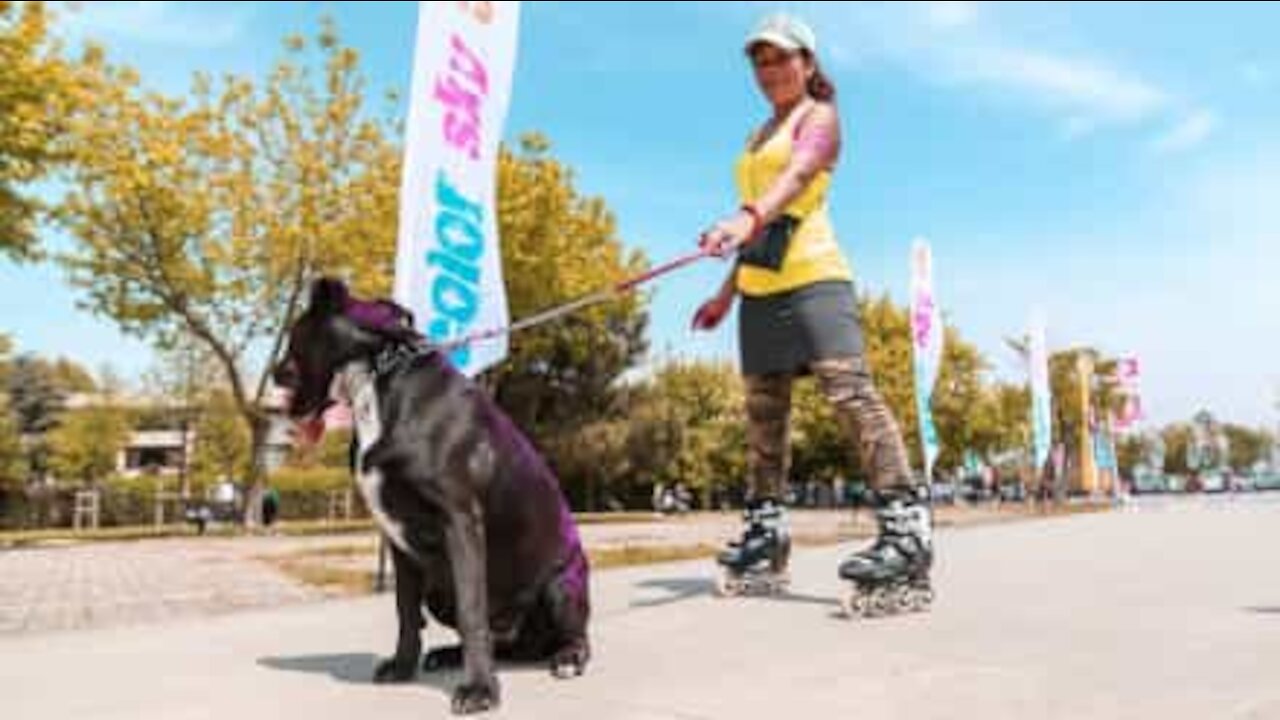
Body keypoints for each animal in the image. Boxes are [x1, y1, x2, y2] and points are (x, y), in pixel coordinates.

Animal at [272, 278, 591, 707]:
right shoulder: (397, 540)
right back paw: (449, 655)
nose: (275, 373)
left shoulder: (460, 521)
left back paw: (568, 657)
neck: (378, 370)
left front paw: (481, 690)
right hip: (440, 594)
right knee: (498, 642)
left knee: (570, 635)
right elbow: (405, 611)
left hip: (562, 587)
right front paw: (403, 667)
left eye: (294, 336)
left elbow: (473, 612)